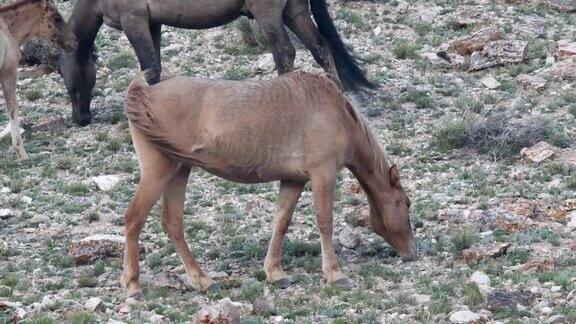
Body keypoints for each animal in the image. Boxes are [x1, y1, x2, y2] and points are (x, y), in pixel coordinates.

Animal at [0, 0, 76, 161]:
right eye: (56, 18)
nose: (74, 42)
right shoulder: (8, 72)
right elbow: (13, 107)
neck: (9, 30)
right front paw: (21, 152)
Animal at [58, 0, 374, 126]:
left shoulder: (133, 20)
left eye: (63, 77)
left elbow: (150, 69)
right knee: (320, 46)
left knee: (285, 53)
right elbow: (155, 66)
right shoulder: (152, 22)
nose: (79, 118)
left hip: (268, 12)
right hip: (294, 10)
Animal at [121, 69, 416, 298]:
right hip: (159, 172)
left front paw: (275, 273)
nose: (413, 251)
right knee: (134, 219)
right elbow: (324, 222)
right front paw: (335, 274)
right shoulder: (323, 174)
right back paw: (133, 285)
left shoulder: (294, 180)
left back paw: (202, 280)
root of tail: (142, 93)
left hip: (180, 171)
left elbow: (281, 222)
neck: (334, 111)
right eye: (407, 204)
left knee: (172, 223)